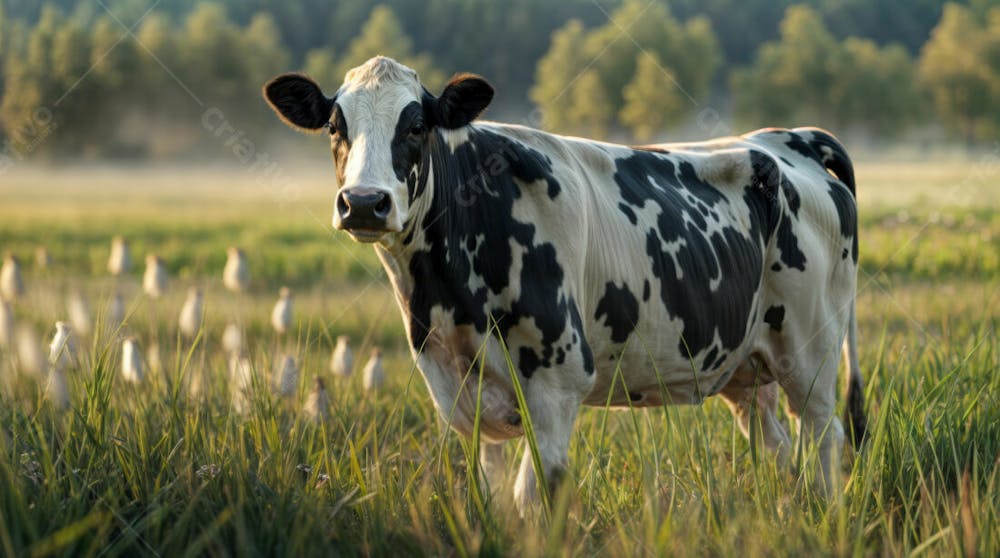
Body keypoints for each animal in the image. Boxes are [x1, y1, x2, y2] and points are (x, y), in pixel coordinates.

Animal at [266, 57, 868, 516]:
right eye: (335, 127)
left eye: (416, 126)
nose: (364, 203)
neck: (446, 299)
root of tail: (784, 140)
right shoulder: (462, 389)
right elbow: (494, 496)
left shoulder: (558, 383)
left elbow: (534, 497)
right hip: (745, 364)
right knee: (777, 446)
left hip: (810, 352)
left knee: (824, 437)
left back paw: (824, 515)